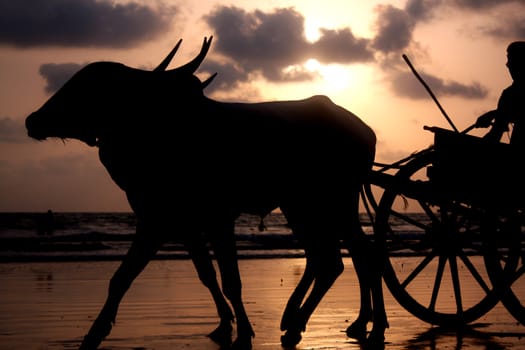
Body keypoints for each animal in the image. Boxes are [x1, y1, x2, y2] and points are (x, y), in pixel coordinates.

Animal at [24, 37, 386, 348]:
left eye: (90, 87)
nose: (32, 120)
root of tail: (365, 130)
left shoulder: (207, 219)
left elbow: (229, 280)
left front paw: (243, 332)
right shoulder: (170, 223)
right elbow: (188, 275)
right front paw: (94, 334)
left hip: (330, 203)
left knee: (346, 257)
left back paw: (345, 324)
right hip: (307, 207)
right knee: (338, 258)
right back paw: (331, 322)